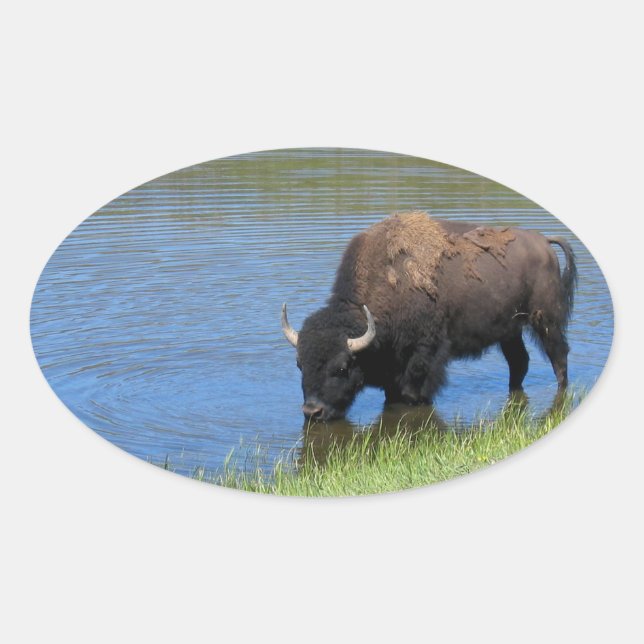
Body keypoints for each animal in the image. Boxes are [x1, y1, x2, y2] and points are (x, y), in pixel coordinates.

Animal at [281, 211, 577, 421]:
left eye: (342, 367)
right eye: (299, 364)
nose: (312, 412)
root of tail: (544, 241)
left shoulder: (424, 354)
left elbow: (414, 392)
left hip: (545, 321)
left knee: (559, 356)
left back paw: (562, 389)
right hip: (510, 331)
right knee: (519, 362)